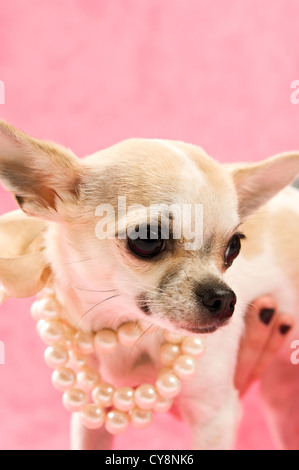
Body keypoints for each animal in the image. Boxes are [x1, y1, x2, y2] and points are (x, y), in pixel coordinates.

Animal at [0, 119, 299, 450]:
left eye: (234, 246)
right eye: (146, 239)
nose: (224, 298)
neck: (127, 333)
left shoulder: (216, 418)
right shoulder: (91, 415)